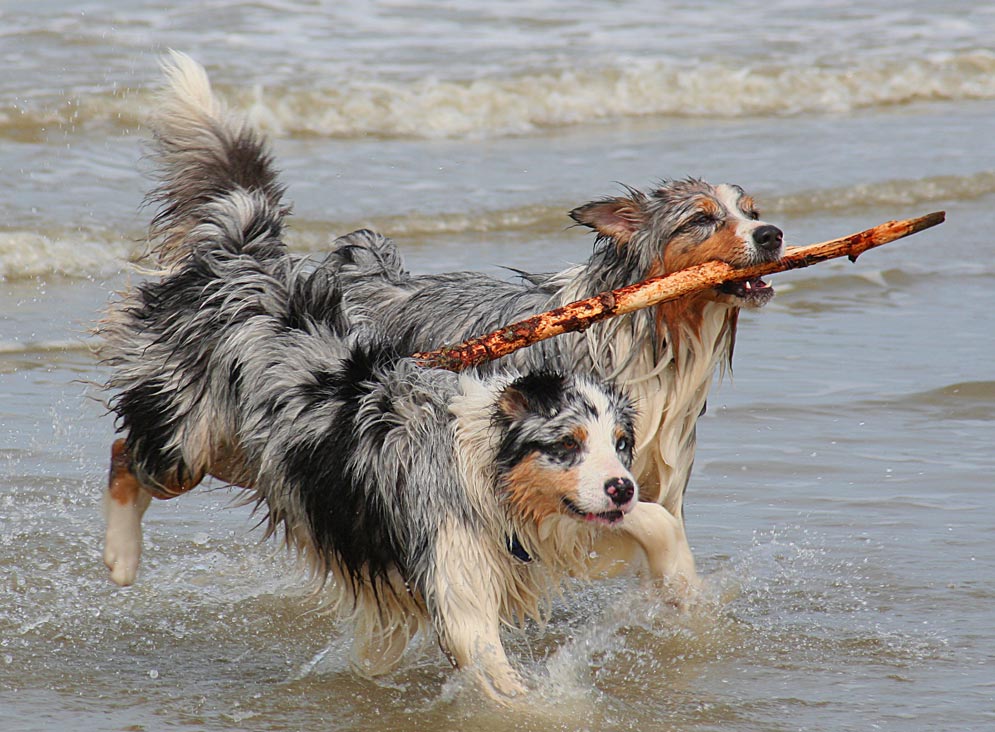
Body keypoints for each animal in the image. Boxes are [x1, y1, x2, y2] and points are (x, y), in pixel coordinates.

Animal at [101, 50, 660, 696]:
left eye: (621, 444)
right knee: (125, 452)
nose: (622, 486)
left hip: (250, 455)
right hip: (186, 439)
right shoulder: (458, 585)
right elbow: (500, 677)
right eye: (566, 444)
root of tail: (240, 259)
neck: (485, 477)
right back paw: (121, 559)